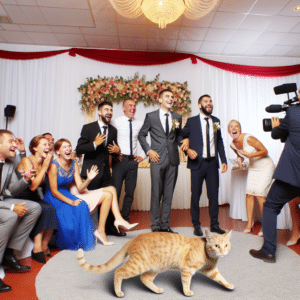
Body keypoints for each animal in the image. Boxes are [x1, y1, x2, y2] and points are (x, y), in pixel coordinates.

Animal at [77, 230, 234, 296]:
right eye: (216, 246)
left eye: (226, 245)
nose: (223, 252)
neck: (208, 255)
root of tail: (134, 238)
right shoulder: (187, 269)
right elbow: (186, 282)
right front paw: (187, 292)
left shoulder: (210, 270)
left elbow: (221, 278)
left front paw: (229, 285)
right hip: (137, 265)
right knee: (118, 272)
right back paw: (118, 292)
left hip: (154, 268)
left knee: (144, 278)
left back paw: (156, 290)